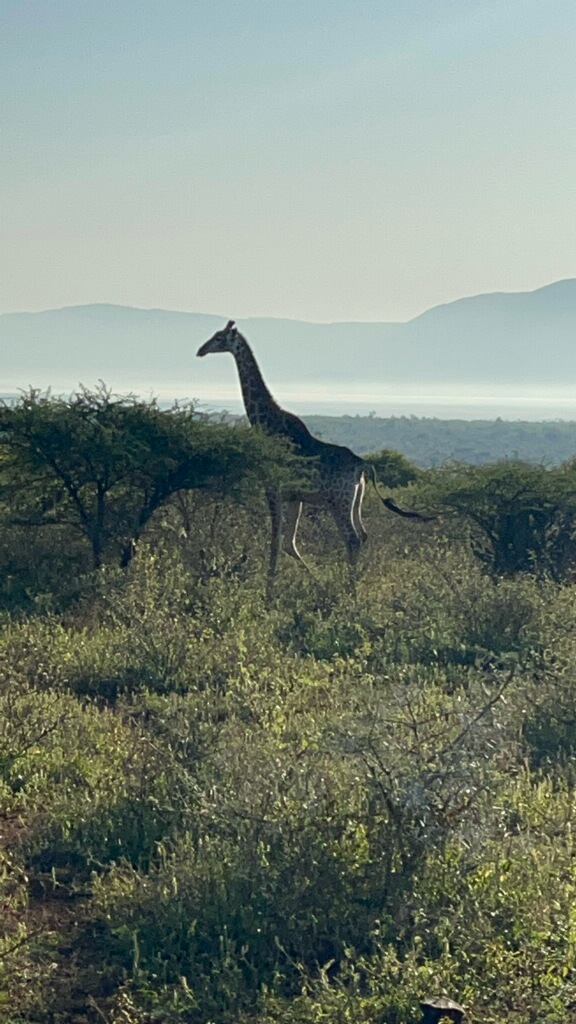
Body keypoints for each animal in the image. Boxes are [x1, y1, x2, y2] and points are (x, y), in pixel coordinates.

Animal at [197, 320, 430, 582]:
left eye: (219, 337)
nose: (200, 350)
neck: (267, 423)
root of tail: (362, 464)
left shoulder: (273, 487)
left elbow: (275, 542)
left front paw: (270, 587)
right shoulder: (294, 496)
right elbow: (288, 543)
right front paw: (314, 580)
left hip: (339, 502)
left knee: (352, 539)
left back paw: (349, 588)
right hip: (356, 499)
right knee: (363, 535)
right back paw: (354, 579)